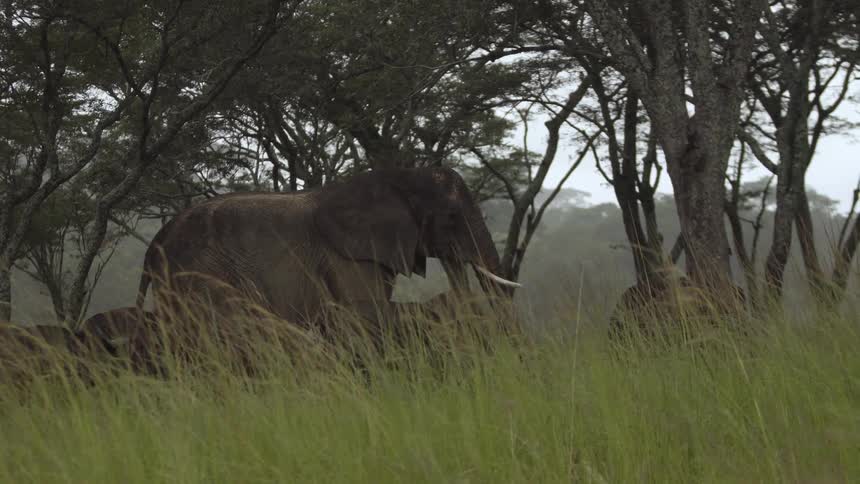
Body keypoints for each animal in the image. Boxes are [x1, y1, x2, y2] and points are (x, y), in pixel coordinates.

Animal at [135, 166, 521, 353]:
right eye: (452, 217)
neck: (395, 179)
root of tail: (154, 243)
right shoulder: (345, 255)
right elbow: (365, 313)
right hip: (196, 273)